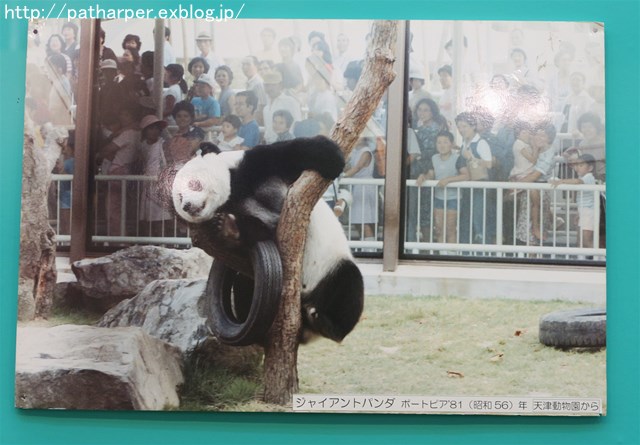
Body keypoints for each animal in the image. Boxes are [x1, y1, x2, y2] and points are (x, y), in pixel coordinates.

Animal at [172, 135, 364, 340]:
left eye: (193, 184)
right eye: (179, 196)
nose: (187, 206)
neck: (232, 195)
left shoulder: (250, 169)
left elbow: (286, 156)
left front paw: (332, 158)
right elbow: (259, 232)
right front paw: (229, 229)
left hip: (331, 267)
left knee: (349, 285)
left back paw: (328, 325)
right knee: (244, 284)